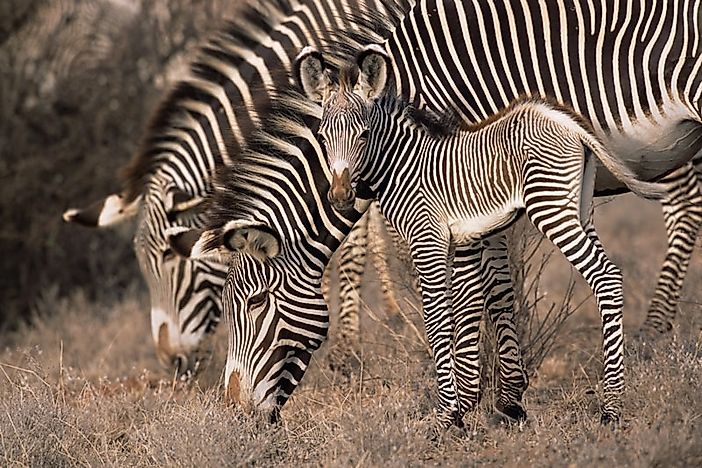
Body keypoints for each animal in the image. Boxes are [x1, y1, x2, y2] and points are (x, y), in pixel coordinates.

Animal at [298, 46, 672, 424]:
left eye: (363, 136)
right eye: (324, 137)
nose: (340, 196)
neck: (404, 164)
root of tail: (565, 121)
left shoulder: (427, 239)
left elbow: (438, 320)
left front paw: (447, 416)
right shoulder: (462, 238)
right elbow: (465, 310)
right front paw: (467, 405)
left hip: (550, 206)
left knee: (605, 276)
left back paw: (612, 407)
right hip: (579, 209)